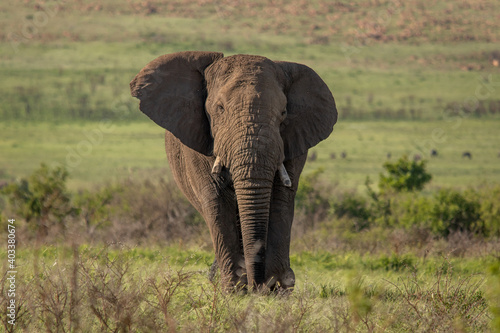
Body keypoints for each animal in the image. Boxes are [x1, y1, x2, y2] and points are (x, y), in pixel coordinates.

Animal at [131, 50, 338, 290]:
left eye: (284, 112)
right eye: (219, 109)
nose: (257, 285)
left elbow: (280, 200)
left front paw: (277, 288)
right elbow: (217, 200)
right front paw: (235, 290)